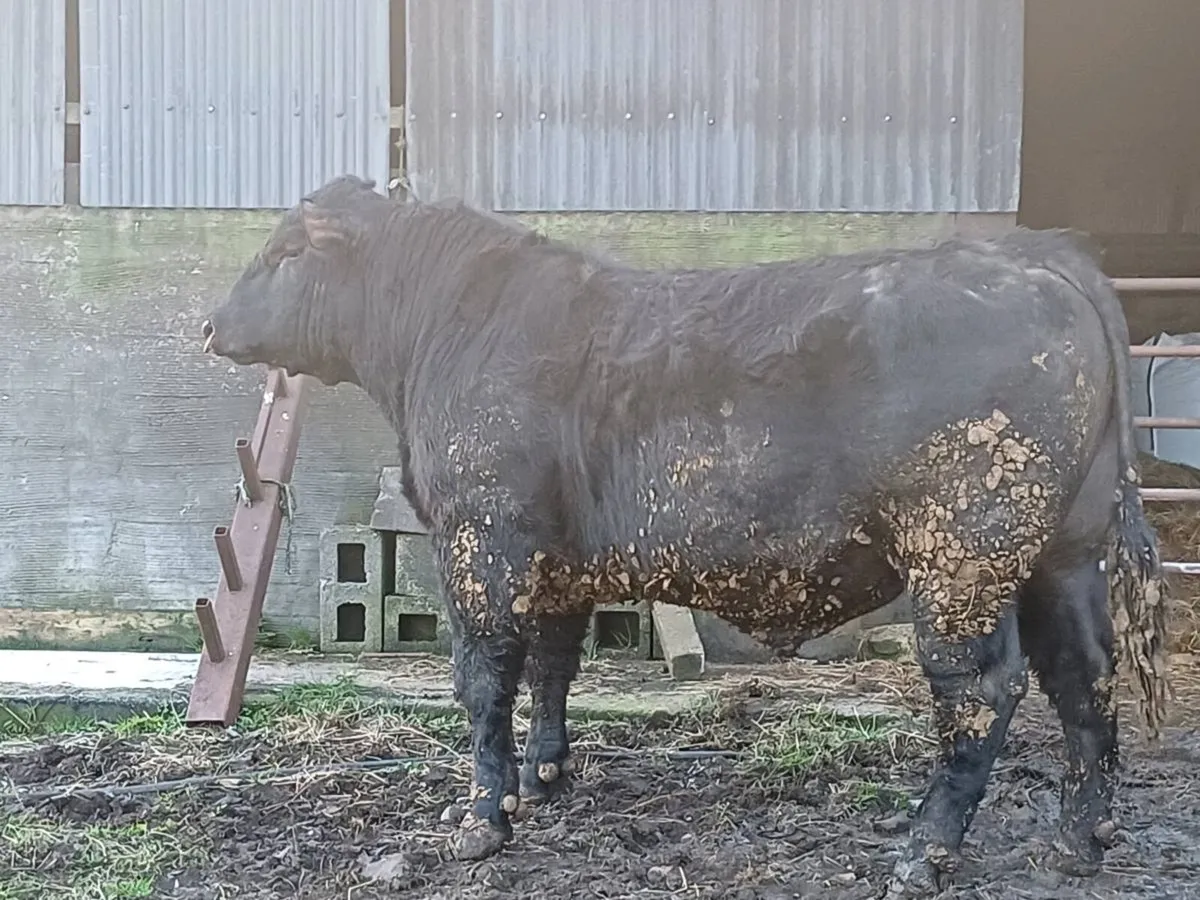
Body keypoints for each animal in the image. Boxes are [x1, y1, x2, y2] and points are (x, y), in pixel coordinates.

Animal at [201, 174, 1170, 896]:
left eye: (284, 252)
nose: (208, 322)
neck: (445, 332)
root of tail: (1040, 261)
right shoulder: (558, 559)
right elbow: (553, 667)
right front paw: (545, 778)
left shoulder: (483, 539)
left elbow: (485, 679)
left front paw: (482, 818)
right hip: (1062, 555)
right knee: (1084, 676)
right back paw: (1079, 840)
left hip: (963, 556)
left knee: (984, 691)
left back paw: (923, 854)